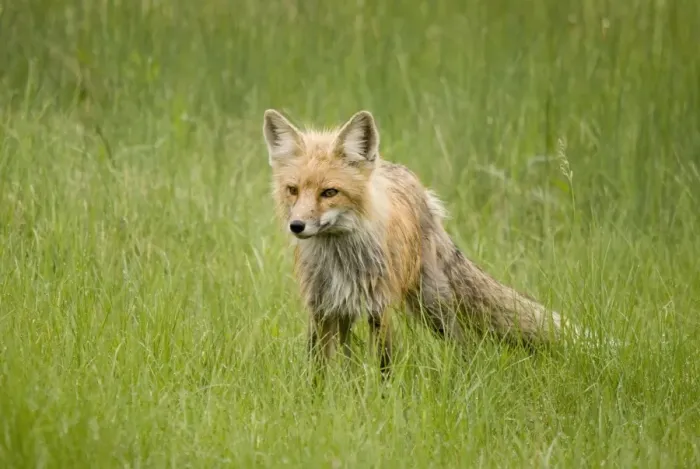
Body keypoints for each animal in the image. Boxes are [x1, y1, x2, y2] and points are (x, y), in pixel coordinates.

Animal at [262, 109, 564, 378]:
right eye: (293, 190)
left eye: (329, 192)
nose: (297, 226)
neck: (340, 260)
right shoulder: (321, 307)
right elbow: (318, 370)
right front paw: (321, 398)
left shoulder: (379, 307)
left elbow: (383, 367)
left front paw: (379, 399)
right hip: (348, 311)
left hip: (432, 306)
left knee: (463, 343)